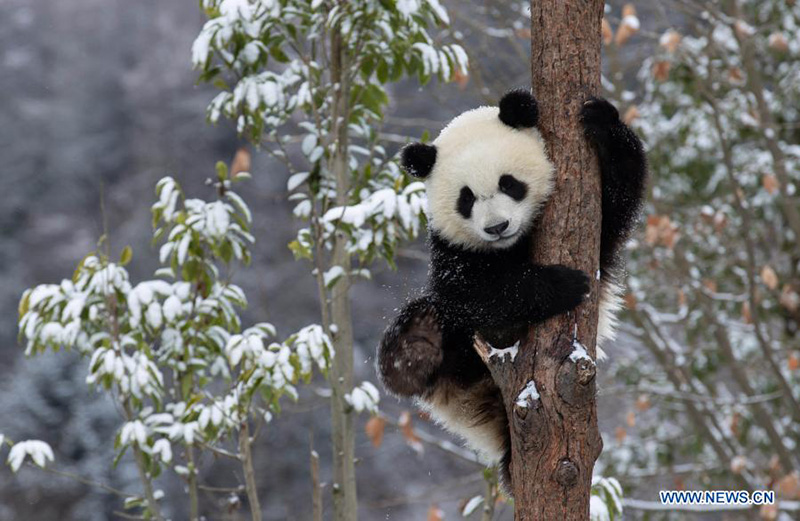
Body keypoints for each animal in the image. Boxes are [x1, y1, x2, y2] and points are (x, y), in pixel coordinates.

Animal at [378, 89, 648, 492]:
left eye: (509, 183)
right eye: (466, 198)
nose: (497, 226)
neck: (511, 247)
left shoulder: (598, 225)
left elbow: (618, 195)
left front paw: (601, 120)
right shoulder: (452, 251)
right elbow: (477, 294)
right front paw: (564, 285)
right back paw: (414, 346)